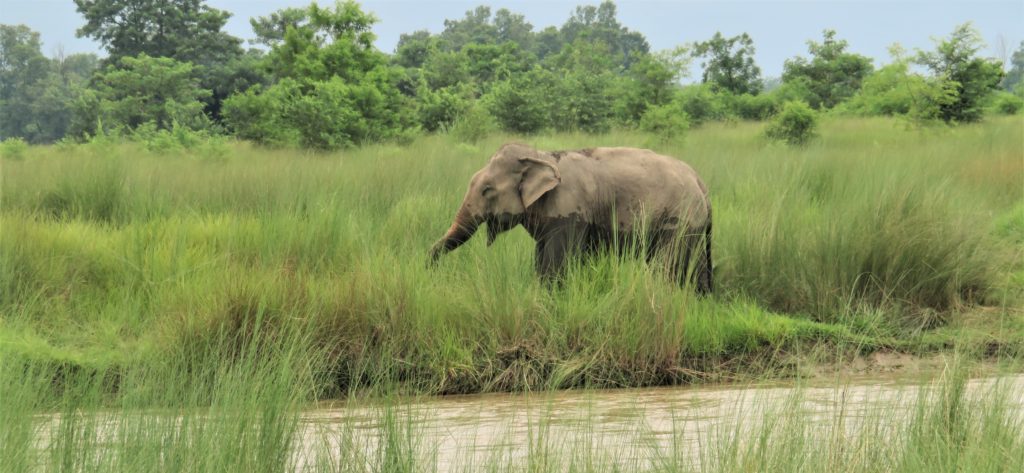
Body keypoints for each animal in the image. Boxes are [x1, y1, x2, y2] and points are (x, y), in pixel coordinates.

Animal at [429, 143, 713, 294]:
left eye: (487, 190)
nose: (430, 269)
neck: (541, 156)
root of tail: (701, 183)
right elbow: (541, 258)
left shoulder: (569, 212)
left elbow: (555, 263)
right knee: (695, 269)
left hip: (678, 220)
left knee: (667, 265)